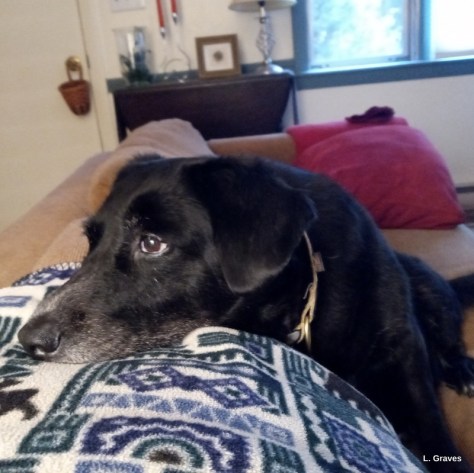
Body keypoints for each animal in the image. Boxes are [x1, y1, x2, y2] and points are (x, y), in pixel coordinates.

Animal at [18, 155, 474, 472]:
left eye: (151, 243)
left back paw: (460, 369)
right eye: (90, 242)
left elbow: (431, 422)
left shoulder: (406, 346)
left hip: (425, 283)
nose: (29, 340)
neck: (306, 290)